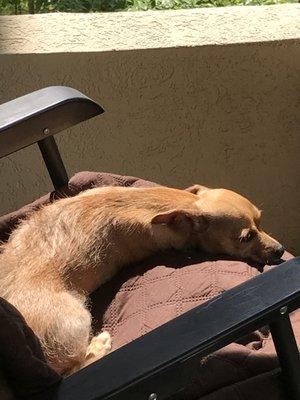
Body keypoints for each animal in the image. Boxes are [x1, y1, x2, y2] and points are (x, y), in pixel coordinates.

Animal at [0, 184, 284, 376]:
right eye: (246, 237)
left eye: (261, 220)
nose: (281, 250)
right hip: (76, 319)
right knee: (75, 366)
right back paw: (100, 345)